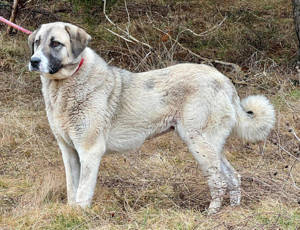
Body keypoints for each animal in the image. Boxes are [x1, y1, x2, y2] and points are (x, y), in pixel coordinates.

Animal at [27, 21, 276, 214]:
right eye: (37, 42)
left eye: (56, 43)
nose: (34, 61)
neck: (65, 85)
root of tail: (224, 79)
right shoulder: (69, 152)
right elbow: (72, 188)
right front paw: (71, 211)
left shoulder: (90, 151)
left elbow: (83, 191)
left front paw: (79, 215)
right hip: (210, 145)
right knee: (233, 176)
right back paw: (233, 208)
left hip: (199, 144)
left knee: (219, 181)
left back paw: (212, 212)